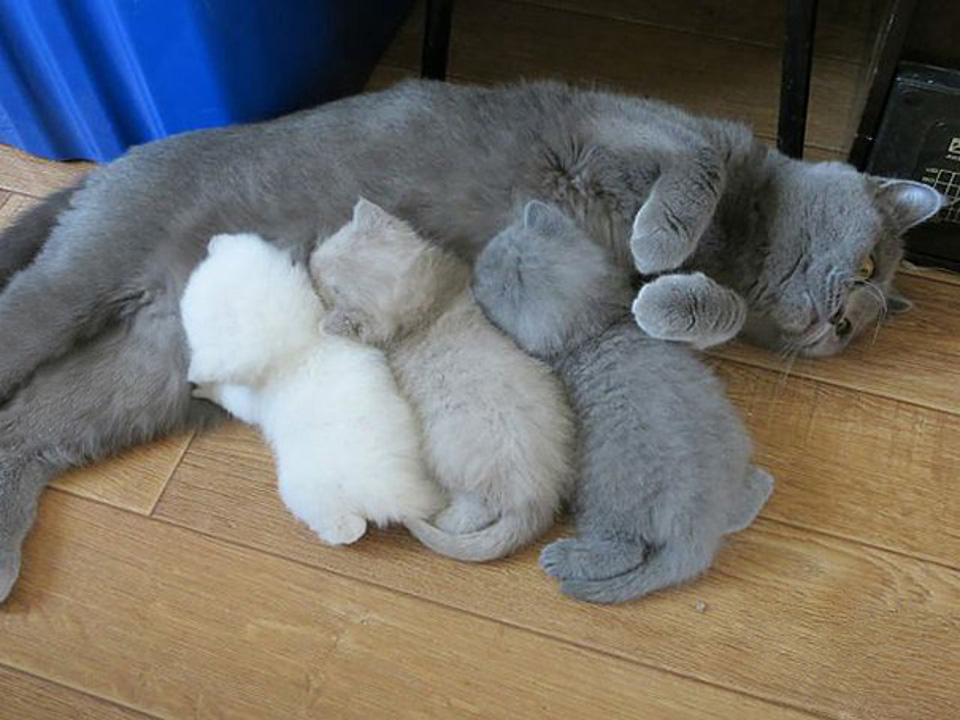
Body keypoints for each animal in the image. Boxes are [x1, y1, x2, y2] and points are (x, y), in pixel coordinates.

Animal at [178, 233, 440, 544]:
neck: (301, 344)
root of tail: (387, 495)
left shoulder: (245, 399)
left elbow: (225, 393)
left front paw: (200, 384)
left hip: (308, 494)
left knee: (345, 526)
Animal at [312, 197, 572, 564]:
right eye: (329, 248)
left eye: (326, 286)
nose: (310, 259)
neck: (427, 304)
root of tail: (539, 497)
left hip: (449, 453)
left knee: (477, 510)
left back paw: (443, 516)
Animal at [476, 200, 776, 600]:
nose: (471, 275)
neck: (596, 329)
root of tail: (697, 526)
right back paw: (758, 486)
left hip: (606, 499)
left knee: (626, 550)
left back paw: (564, 558)